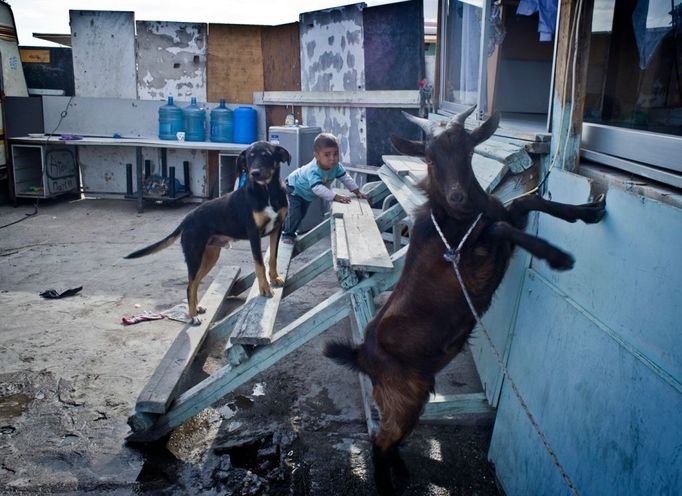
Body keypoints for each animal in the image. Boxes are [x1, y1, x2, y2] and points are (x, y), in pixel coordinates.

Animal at [125, 140, 290, 326]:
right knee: (190, 285)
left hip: (210, 256)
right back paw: (192, 316)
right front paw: (265, 288)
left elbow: (273, 258)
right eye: (249, 158)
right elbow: (259, 264)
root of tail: (187, 219)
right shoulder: (253, 233)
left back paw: (196, 308)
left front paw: (275, 278)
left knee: (195, 283)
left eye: (266, 155)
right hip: (194, 256)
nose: (254, 173)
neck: (267, 191)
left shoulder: (277, 229)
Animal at [324, 106, 604, 494]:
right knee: (378, 442)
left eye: (469, 151)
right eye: (428, 157)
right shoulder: (474, 258)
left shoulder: (504, 219)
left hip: (412, 397)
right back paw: (388, 484)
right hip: (402, 396)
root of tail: (362, 355)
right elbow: (503, 225)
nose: (457, 196)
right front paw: (557, 256)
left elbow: (527, 201)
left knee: (391, 440)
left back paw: (403, 470)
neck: (456, 219)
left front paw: (588, 213)